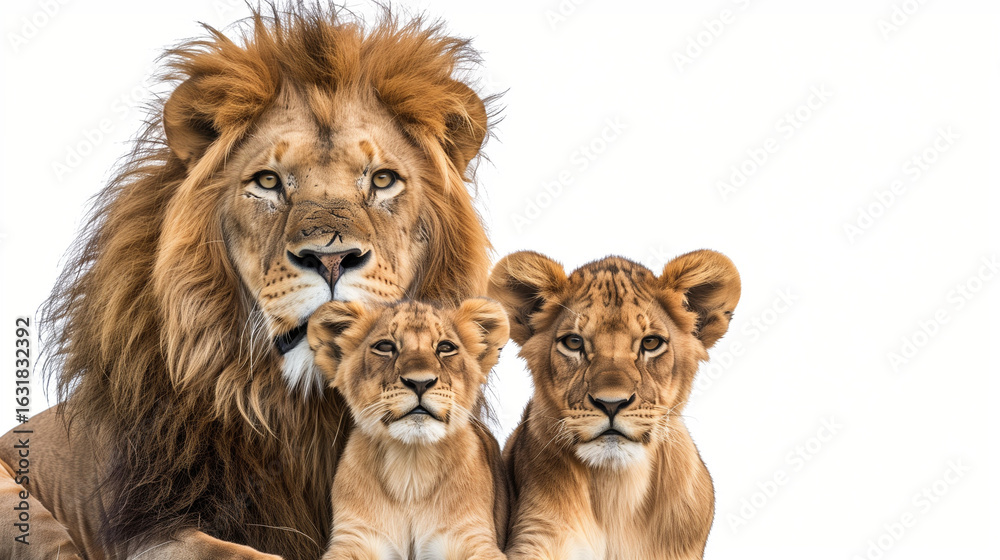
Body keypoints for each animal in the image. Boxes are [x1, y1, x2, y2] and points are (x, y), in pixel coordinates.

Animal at [307, 298, 510, 560]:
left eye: (445, 347)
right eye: (385, 346)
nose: (420, 383)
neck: (411, 466)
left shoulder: (472, 537)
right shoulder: (353, 537)